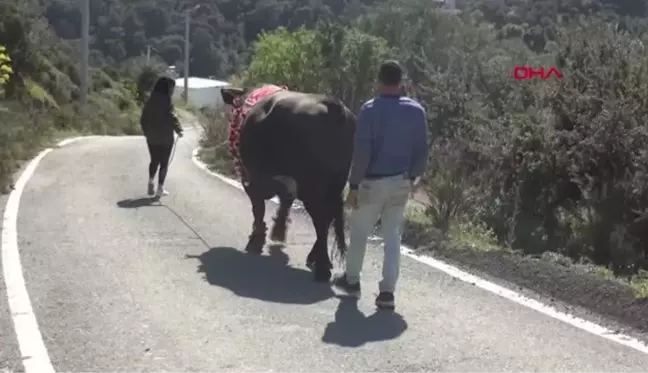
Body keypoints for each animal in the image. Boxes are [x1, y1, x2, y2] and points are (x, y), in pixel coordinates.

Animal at [221, 86, 354, 280]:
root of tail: (333, 105)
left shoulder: (252, 177)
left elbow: (258, 208)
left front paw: (257, 239)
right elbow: (284, 199)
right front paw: (277, 229)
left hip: (311, 187)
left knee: (321, 220)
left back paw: (322, 267)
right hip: (336, 182)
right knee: (328, 217)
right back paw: (316, 258)